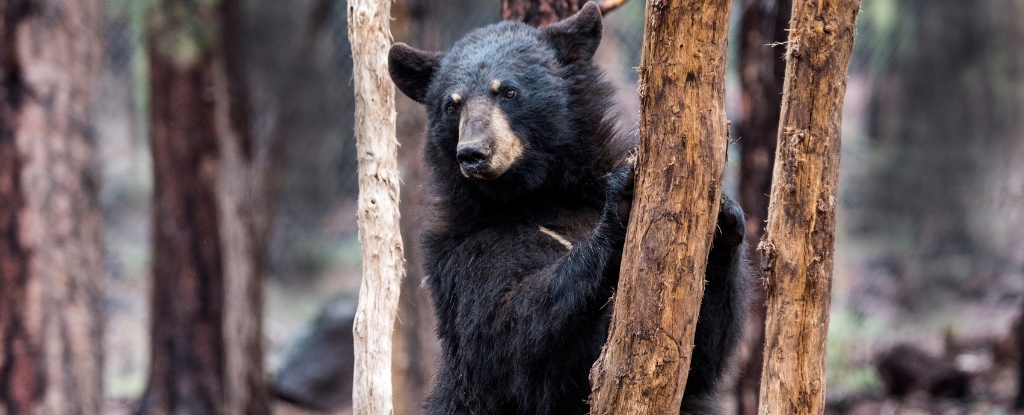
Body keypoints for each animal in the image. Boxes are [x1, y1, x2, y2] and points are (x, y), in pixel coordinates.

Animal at [387, 2, 749, 409]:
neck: (537, 192)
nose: (473, 154)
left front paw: (725, 218)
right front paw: (621, 201)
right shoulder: (458, 249)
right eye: (452, 105)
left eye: (508, 91)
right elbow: (507, 331)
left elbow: (697, 355)